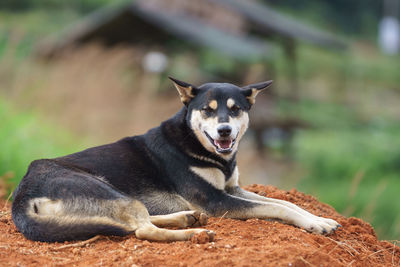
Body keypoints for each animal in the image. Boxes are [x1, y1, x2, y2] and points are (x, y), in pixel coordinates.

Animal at [10, 77, 340, 243]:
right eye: (208, 110)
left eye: (235, 109)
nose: (224, 130)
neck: (196, 144)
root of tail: (21, 199)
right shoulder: (216, 200)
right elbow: (278, 208)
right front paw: (316, 224)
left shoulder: (231, 189)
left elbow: (285, 202)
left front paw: (319, 218)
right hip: (104, 187)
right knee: (140, 229)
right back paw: (194, 232)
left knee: (136, 220)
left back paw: (187, 218)